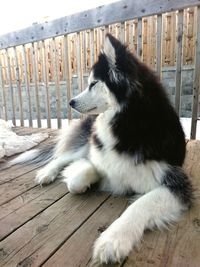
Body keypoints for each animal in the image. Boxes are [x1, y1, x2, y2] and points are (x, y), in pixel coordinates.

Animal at [9, 34, 192, 266]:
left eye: (94, 83)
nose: (70, 102)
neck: (128, 123)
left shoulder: (177, 184)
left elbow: (139, 206)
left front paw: (112, 240)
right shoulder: (95, 152)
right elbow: (78, 179)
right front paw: (89, 178)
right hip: (85, 140)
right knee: (61, 158)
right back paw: (46, 174)